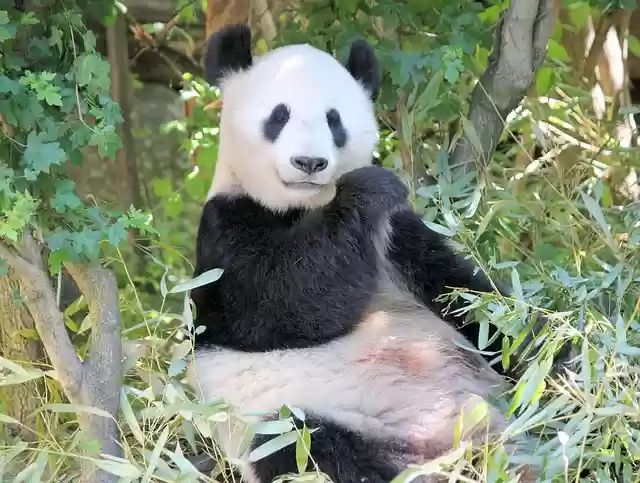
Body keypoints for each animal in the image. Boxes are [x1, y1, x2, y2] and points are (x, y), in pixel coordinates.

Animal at [187, 24, 570, 483]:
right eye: (278, 116)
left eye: (334, 120)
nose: (309, 162)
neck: (302, 206)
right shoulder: (224, 230)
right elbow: (276, 301)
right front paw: (369, 187)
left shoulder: (396, 237)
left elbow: (472, 303)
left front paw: (559, 358)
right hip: (303, 420)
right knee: (311, 447)